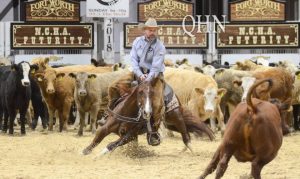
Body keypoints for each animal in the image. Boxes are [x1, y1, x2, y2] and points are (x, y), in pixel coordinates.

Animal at [82, 76, 213, 155]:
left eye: (152, 95)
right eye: (140, 92)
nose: (147, 112)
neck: (127, 113)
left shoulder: (130, 135)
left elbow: (112, 144)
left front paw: (100, 154)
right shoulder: (107, 127)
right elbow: (98, 136)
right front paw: (85, 151)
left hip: (176, 117)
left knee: (185, 133)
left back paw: (191, 149)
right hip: (170, 124)